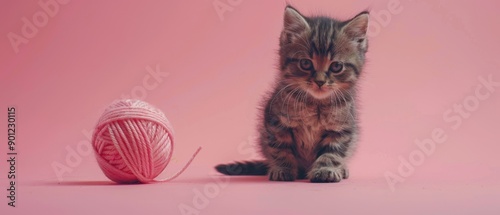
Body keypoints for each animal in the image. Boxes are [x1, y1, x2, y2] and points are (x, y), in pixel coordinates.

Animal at [215, 5, 368, 182]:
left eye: (336, 66)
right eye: (305, 63)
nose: (320, 81)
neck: (315, 104)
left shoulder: (342, 129)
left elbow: (333, 152)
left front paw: (326, 169)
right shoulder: (276, 123)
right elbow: (281, 149)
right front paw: (283, 169)